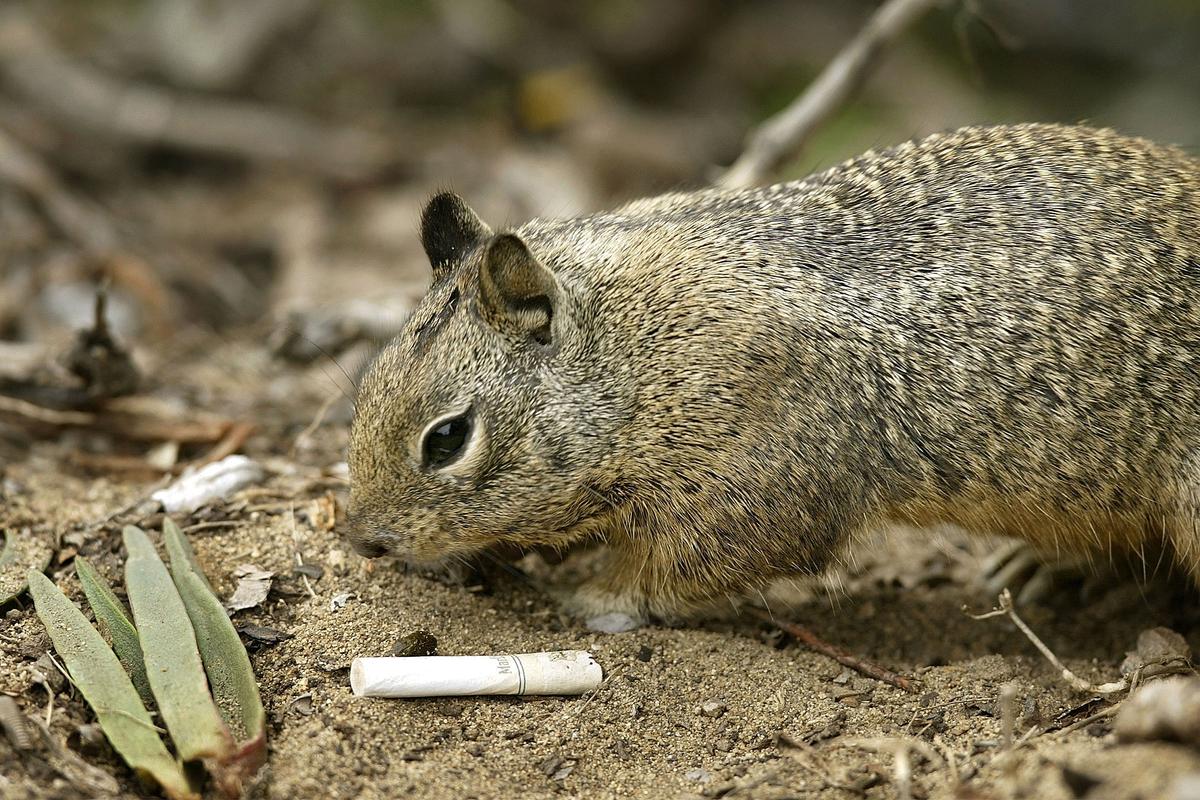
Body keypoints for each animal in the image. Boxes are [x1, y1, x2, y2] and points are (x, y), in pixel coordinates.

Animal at [346, 123, 1200, 623]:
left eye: (447, 438)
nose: (365, 540)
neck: (631, 354)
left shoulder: (746, 493)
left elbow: (672, 574)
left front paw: (593, 596)